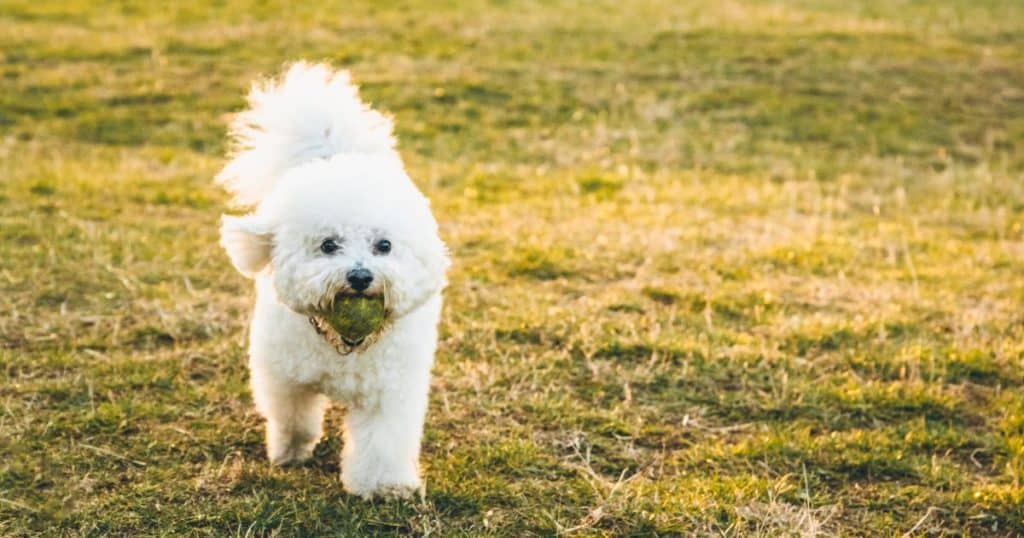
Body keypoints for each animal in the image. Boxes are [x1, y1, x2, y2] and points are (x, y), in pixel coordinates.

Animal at [215, 60, 448, 498]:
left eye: (384, 246)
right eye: (328, 245)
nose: (360, 276)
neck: (343, 342)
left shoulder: (387, 394)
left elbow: (382, 442)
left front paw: (384, 486)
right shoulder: (284, 378)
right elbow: (292, 418)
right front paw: (289, 452)